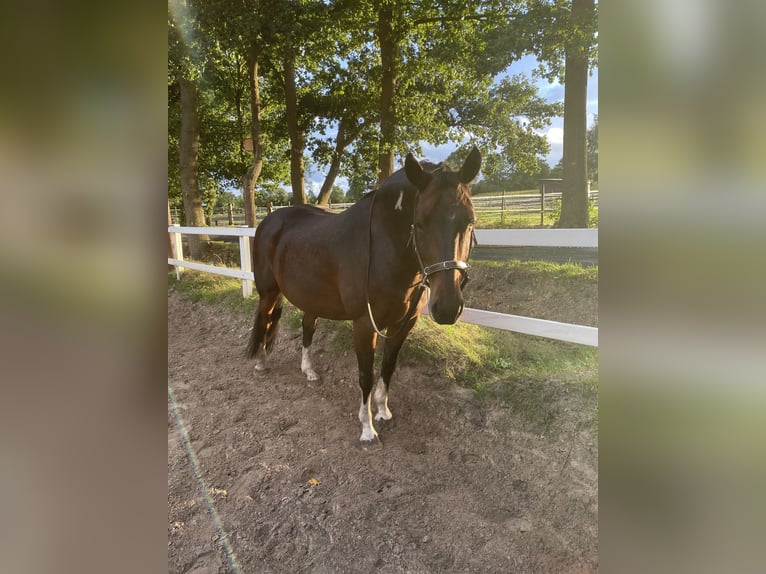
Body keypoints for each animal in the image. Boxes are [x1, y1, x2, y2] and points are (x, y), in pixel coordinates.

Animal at [246, 148, 481, 442]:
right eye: (419, 223)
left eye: (470, 220)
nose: (448, 307)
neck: (382, 250)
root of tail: (269, 221)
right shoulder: (364, 325)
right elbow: (365, 375)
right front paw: (367, 428)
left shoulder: (403, 324)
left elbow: (388, 367)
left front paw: (383, 411)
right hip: (268, 293)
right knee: (264, 321)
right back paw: (260, 364)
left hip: (311, 297)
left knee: (307, 327)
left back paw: (309, 370)